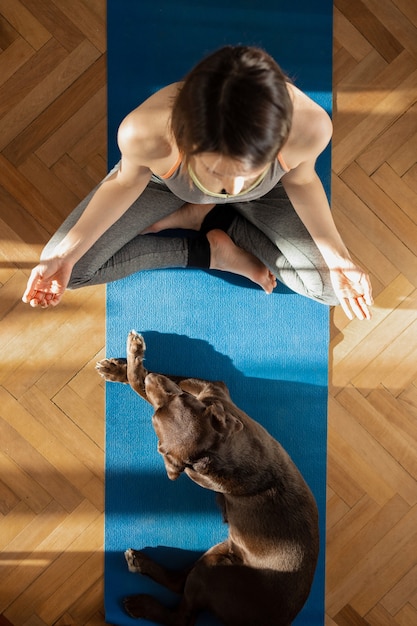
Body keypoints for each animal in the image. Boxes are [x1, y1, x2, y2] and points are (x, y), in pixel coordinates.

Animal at [96, 330, 318, 620]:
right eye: (176, 399)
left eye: (159, 413)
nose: (152, 379)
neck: (216, 451)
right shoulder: (208, 391)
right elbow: (163, 378)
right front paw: (120, 368)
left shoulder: (208, 389)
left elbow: (139, 385)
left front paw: (133, 360)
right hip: (221, 551)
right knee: (178, 583)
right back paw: (141, 564)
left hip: (212, 571)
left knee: (179, 614)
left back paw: (141, 600)